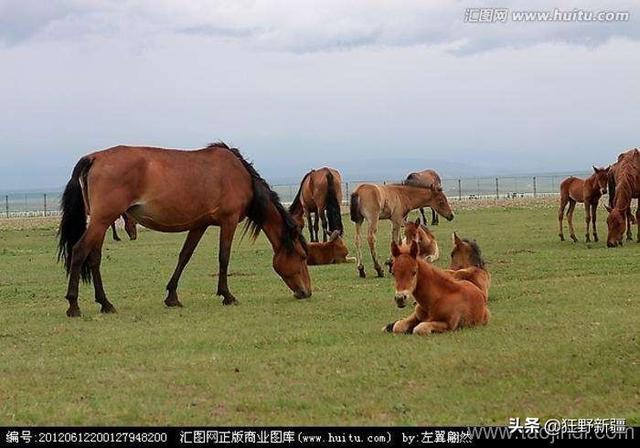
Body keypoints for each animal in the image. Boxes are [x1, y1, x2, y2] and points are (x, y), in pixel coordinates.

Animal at [56, 142, 312, 316]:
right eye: (302, 256)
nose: (307, 293)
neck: (239, 175)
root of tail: (94, 157)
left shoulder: (199, 225)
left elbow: (184, 256)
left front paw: (172, 296)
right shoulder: (228, 222)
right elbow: (224, 257)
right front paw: (227, 295)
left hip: (101, 222)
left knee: (94, 258)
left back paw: (105, 303)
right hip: (101, 220)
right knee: (79, 252)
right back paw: (73, 305)